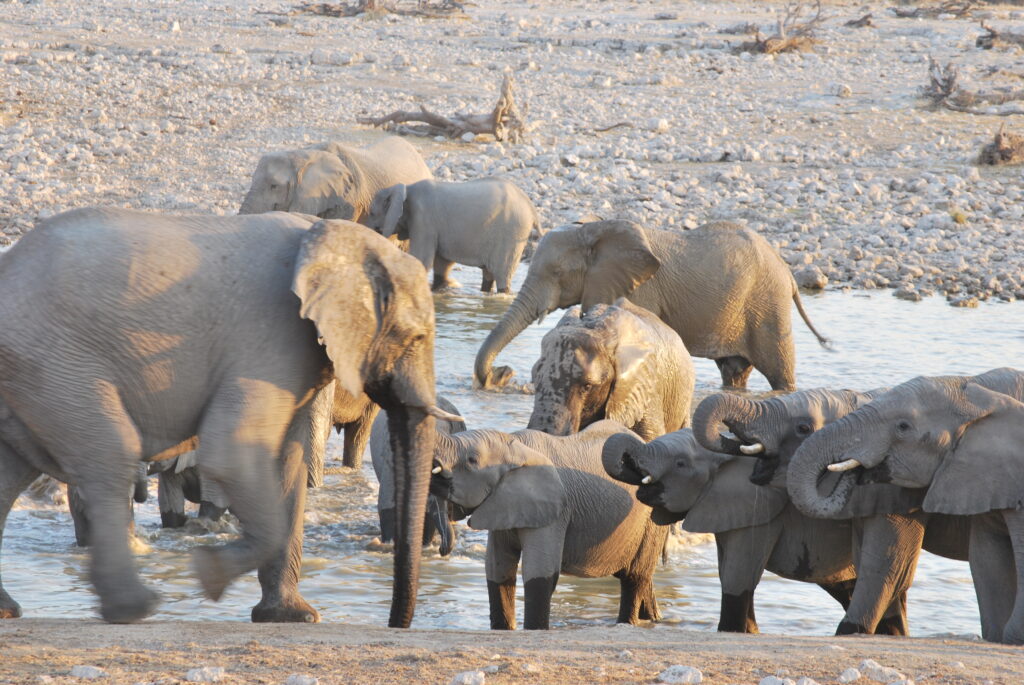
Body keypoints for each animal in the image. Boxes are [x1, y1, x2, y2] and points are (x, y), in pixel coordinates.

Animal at [0, 208, 451, 628]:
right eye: (416, 337)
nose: (394, 624)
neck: (337, 238)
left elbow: (285, 464)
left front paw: (291, 617)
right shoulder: (268, 336)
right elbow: (234, 455)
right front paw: (208, 573)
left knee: (12, 473)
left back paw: (10, 610)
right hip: (58, 363)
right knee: (110, 455)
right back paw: (136, 608)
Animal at [364, 178, 539, 294]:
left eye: (371, 213)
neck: (406, 188)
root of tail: (531, 207)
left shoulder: (423, 219)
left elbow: (421, 259)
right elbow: (442, 263)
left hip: (512, 234)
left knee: (502, 274)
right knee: (489, 274)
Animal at [429, 420, 668, 630]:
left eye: (472, 460)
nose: (442, 549)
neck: (516, 446)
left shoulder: (556, 513)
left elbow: (539, 574)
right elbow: (498, 570)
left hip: (652, 517)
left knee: (634, 577)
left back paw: (627, 623)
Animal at [473, 219, 829, 391]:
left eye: (556, 274)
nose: (502, 374)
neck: (591, 231)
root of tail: (787, 271)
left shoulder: (637, 291)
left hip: (768, 305)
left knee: (779, 371)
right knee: (734, 371)